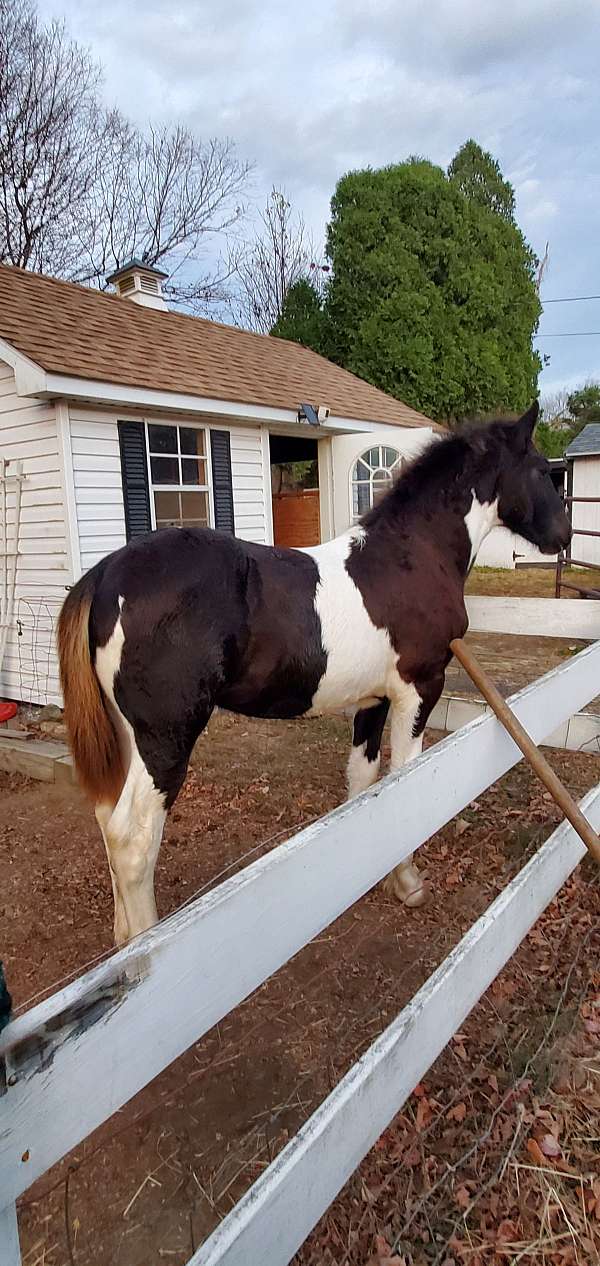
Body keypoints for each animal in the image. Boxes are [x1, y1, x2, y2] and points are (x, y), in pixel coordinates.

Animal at [57, 400, 572, 946]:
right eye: (543, 470)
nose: (563, 536)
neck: (411, 555)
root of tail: (105, 573)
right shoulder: (418, 690)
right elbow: (405, 781)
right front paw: (408, 883)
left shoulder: (374, 700)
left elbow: (364, 781)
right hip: (166, 739)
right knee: (133, 839)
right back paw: (144, 944)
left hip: (126, 733)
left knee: (106, 818)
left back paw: (121, 936)